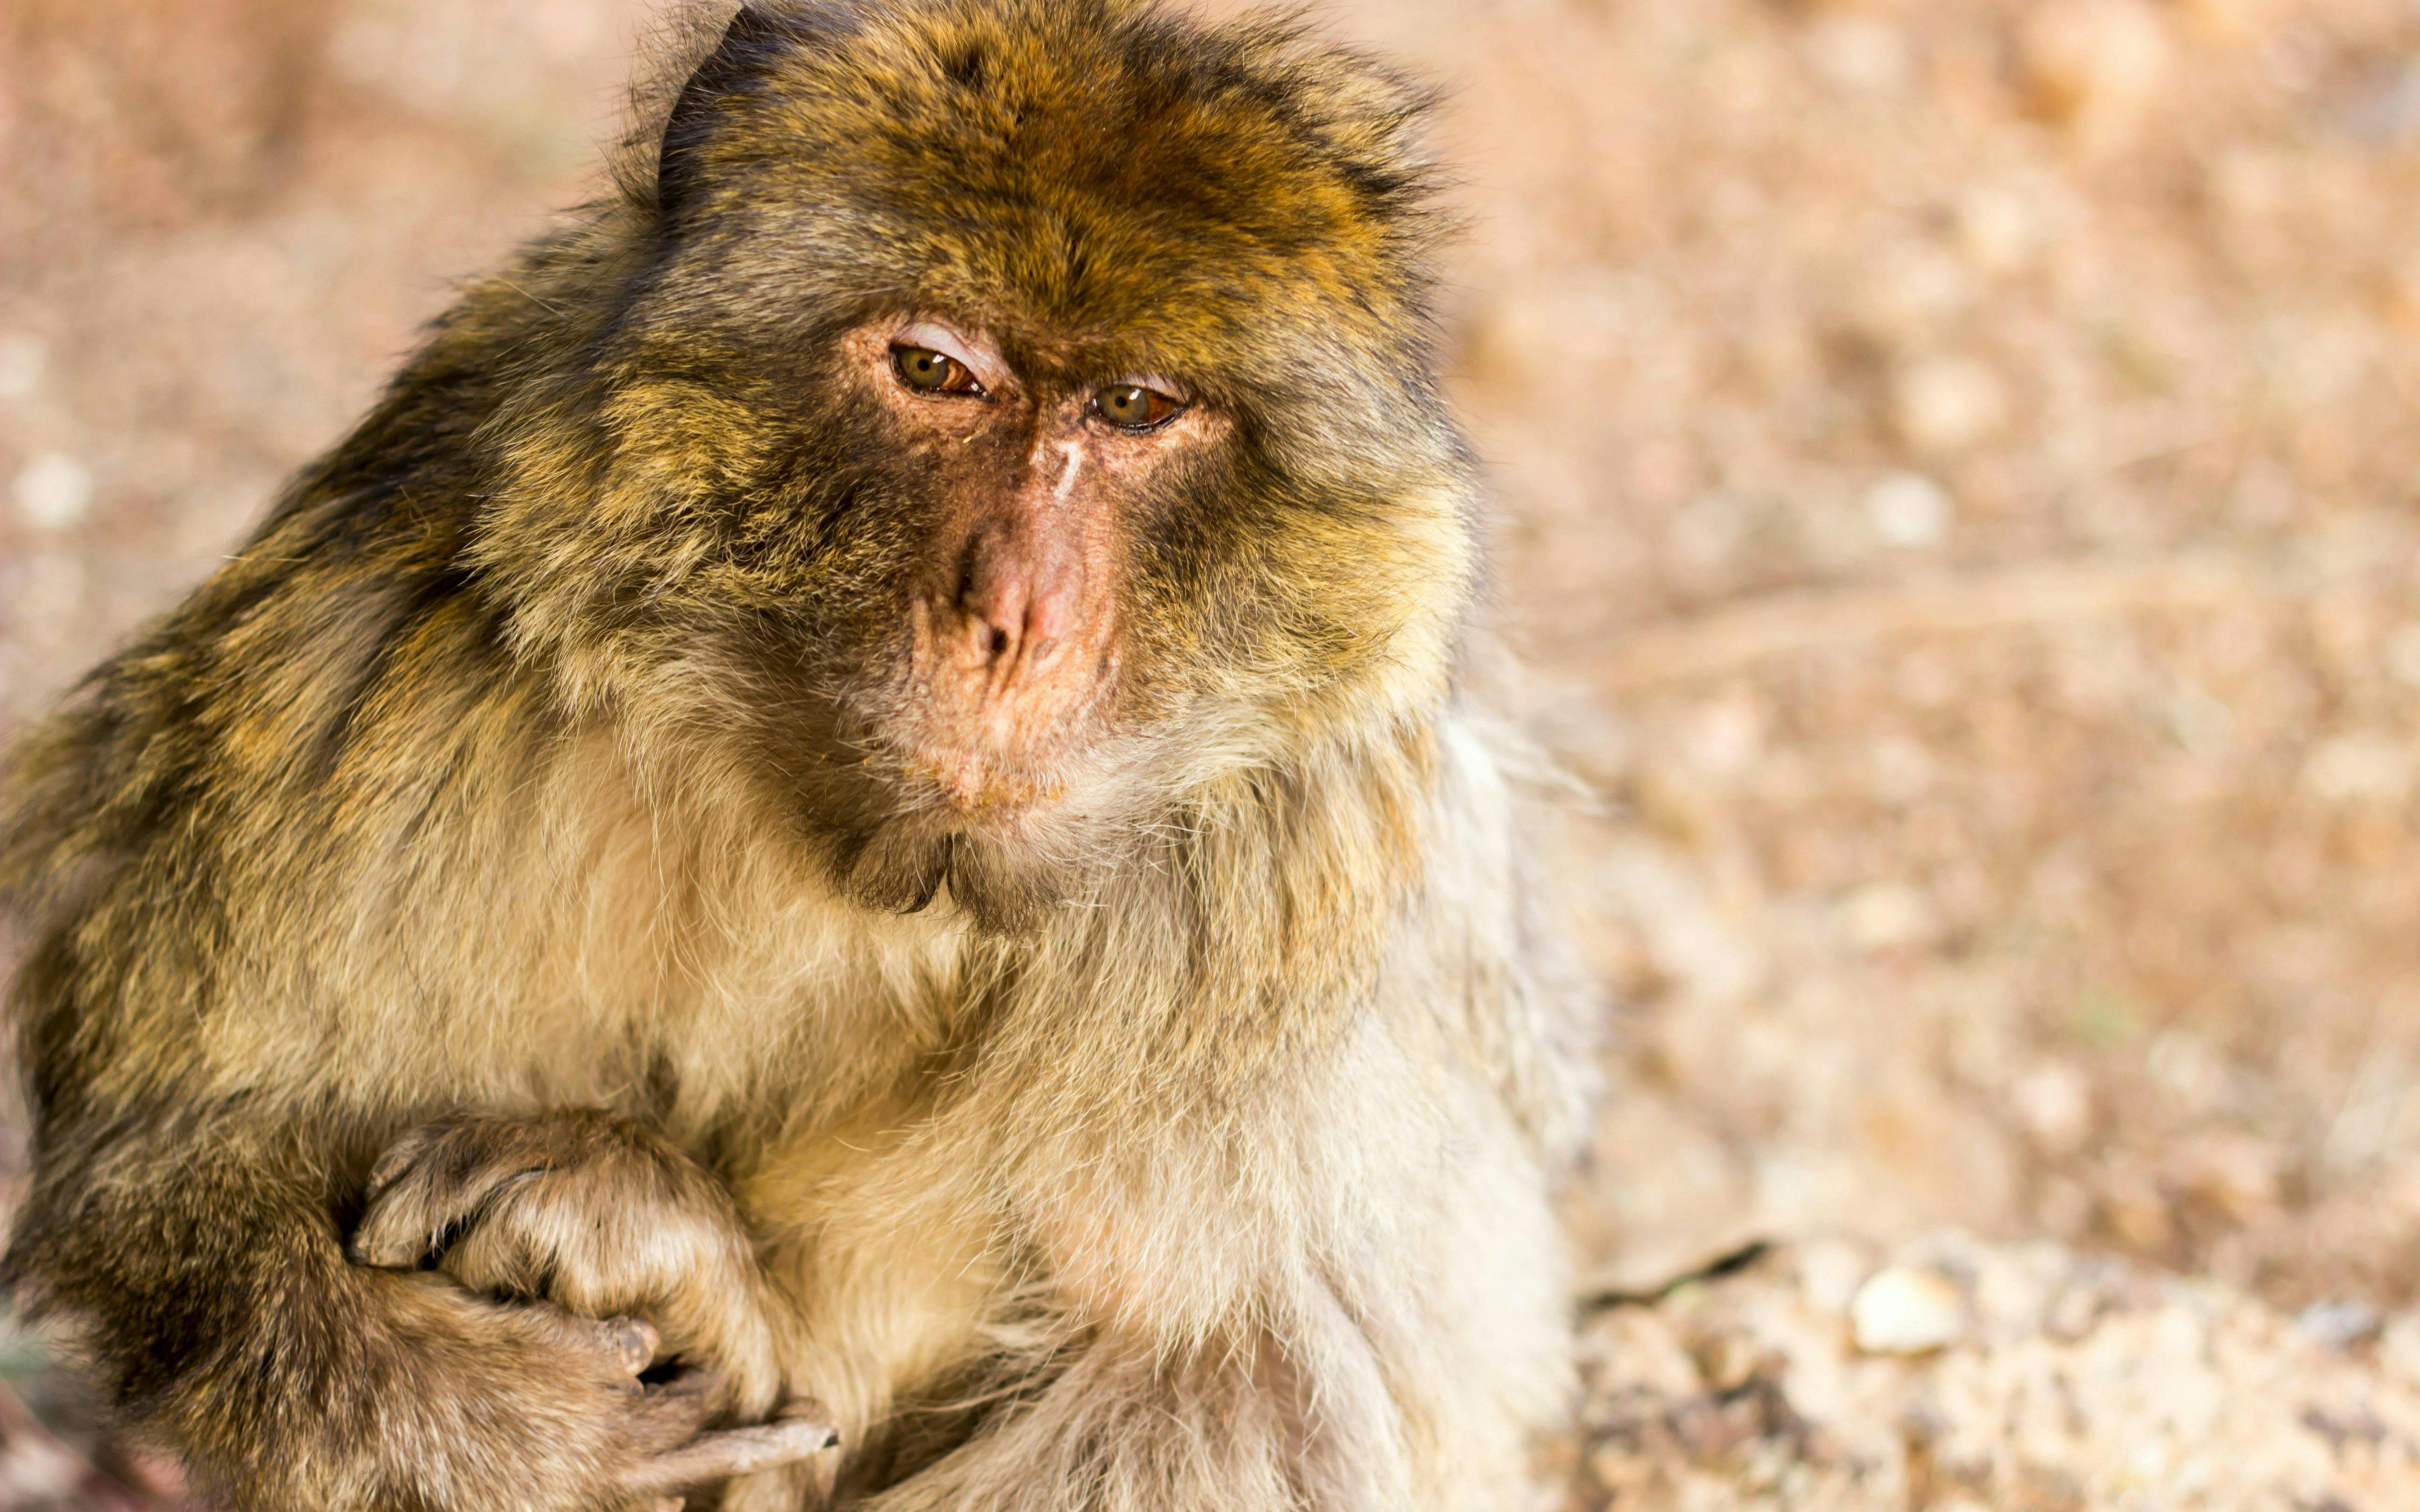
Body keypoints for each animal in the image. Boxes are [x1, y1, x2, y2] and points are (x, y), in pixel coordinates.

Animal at [0, 1, 1601, 1508]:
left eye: (1140, 409)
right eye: (937, 370)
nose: (1013, 619)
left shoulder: (1285, 885)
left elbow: (1235, 1388)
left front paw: (674, 1266)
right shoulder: (382, 649)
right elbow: (166, 1154)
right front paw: (513, 1416)